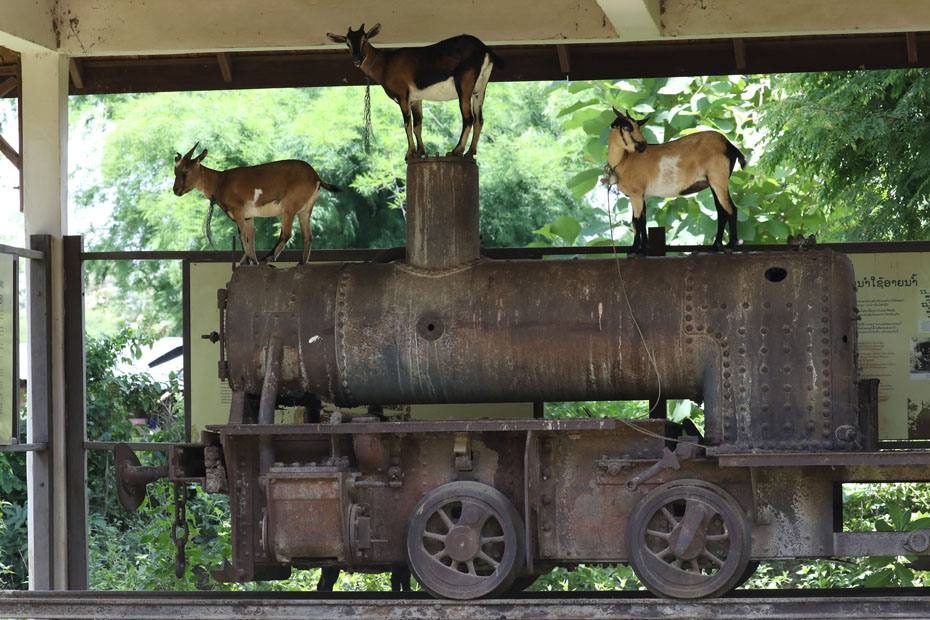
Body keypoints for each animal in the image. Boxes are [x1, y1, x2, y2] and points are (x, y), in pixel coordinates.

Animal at [172, 144, 338, 266]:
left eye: (186, 171)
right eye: (175, 171)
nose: (175, 190)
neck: (221, 181)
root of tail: (316, 176)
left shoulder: (238, 210)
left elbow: (242, 235)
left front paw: (250, 260)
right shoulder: (248, 216)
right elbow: (251, 236)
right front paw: (251, 260)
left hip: (289, 206)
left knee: (286, 233)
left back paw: (269, 258)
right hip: (305, 209)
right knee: (307, 236)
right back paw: (301, 263)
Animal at [328, 23, 500, 161]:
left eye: (365, 39)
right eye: (347, 43)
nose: (357, 60)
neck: (386, 64)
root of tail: (483, 48)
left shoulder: (402, 95)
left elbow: (407, 123)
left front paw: (409, 153)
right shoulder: (416, 99)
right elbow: (418, 124)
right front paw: (420, 152)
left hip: (464, 84)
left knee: (468, 118)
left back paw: (457, 150)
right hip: (479, 90)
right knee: (479, 119)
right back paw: (471, 151)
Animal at [600, 108, 748, 253]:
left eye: (637, 127)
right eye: (626, 128)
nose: (643, 145)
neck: (623, 160)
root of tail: (728, 144)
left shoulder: (636, 194)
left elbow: (637, 221)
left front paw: (635, 249)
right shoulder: (640, 195)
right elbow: (641, 219)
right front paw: (644, 247)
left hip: (718, 179)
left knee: (730, 209)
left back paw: (731, 245)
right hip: (714, 183)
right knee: (721, 211)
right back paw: (716, 246)